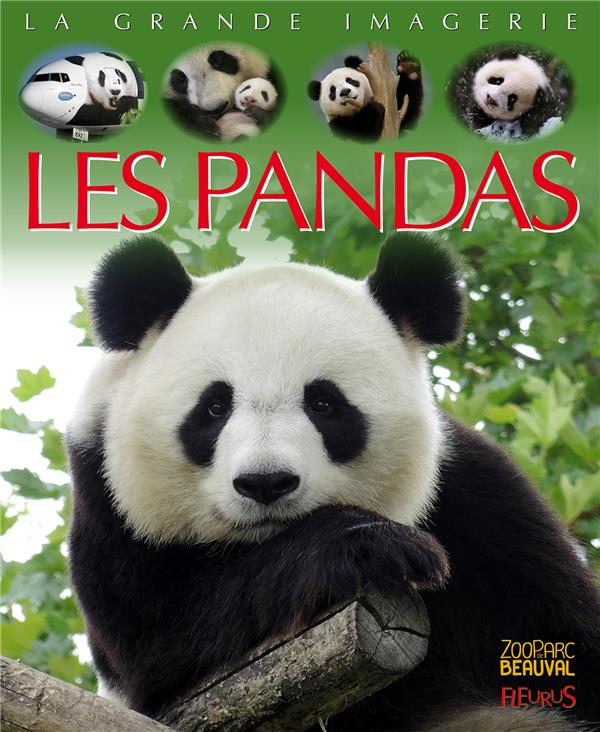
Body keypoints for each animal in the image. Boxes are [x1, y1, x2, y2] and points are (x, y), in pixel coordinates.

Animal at [67, 235, 600, 730]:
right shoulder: (107, 503)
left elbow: (565, 630)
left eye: (324, 403)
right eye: (214, 407)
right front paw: (372, 545)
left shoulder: (485, 512)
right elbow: (165, 633)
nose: (266, 483)